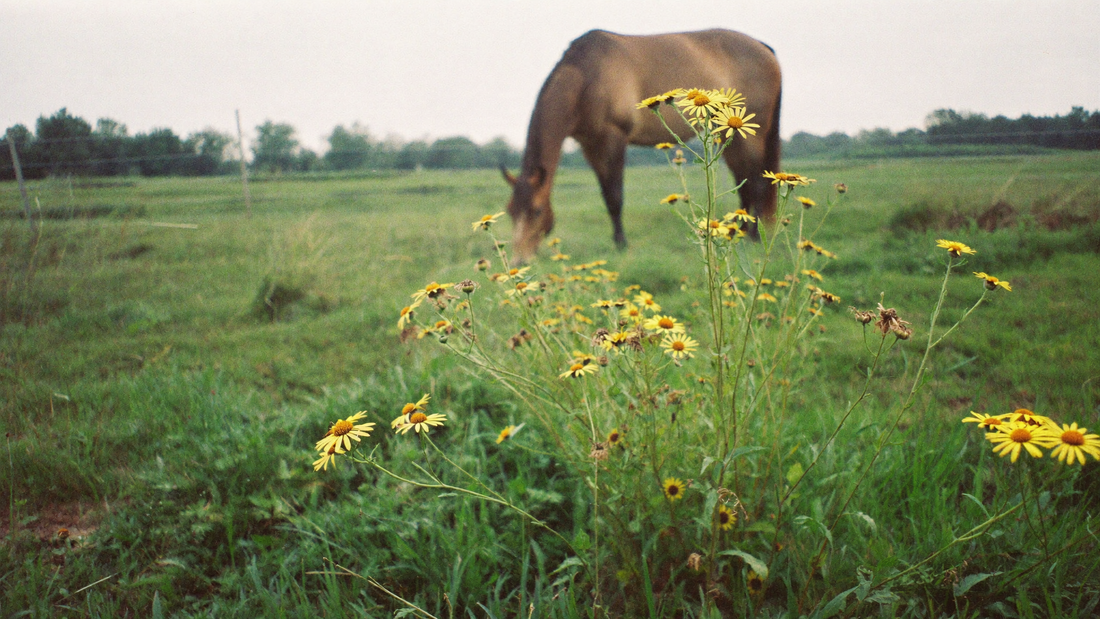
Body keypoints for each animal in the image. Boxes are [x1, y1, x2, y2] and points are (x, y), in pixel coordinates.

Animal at [502, 29, 782, 261]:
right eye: (510, 211)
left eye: (537, 211)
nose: (519, 261)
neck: (588, 77)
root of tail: (763, 47)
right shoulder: (590, 145)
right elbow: (606, 196)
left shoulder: (613, 139)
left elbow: (615, 197)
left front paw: (621, 246)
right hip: (729, 135)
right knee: (743, 182)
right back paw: (738, 233)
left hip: (750, 134)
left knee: (757, 182)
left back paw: (753, 238)